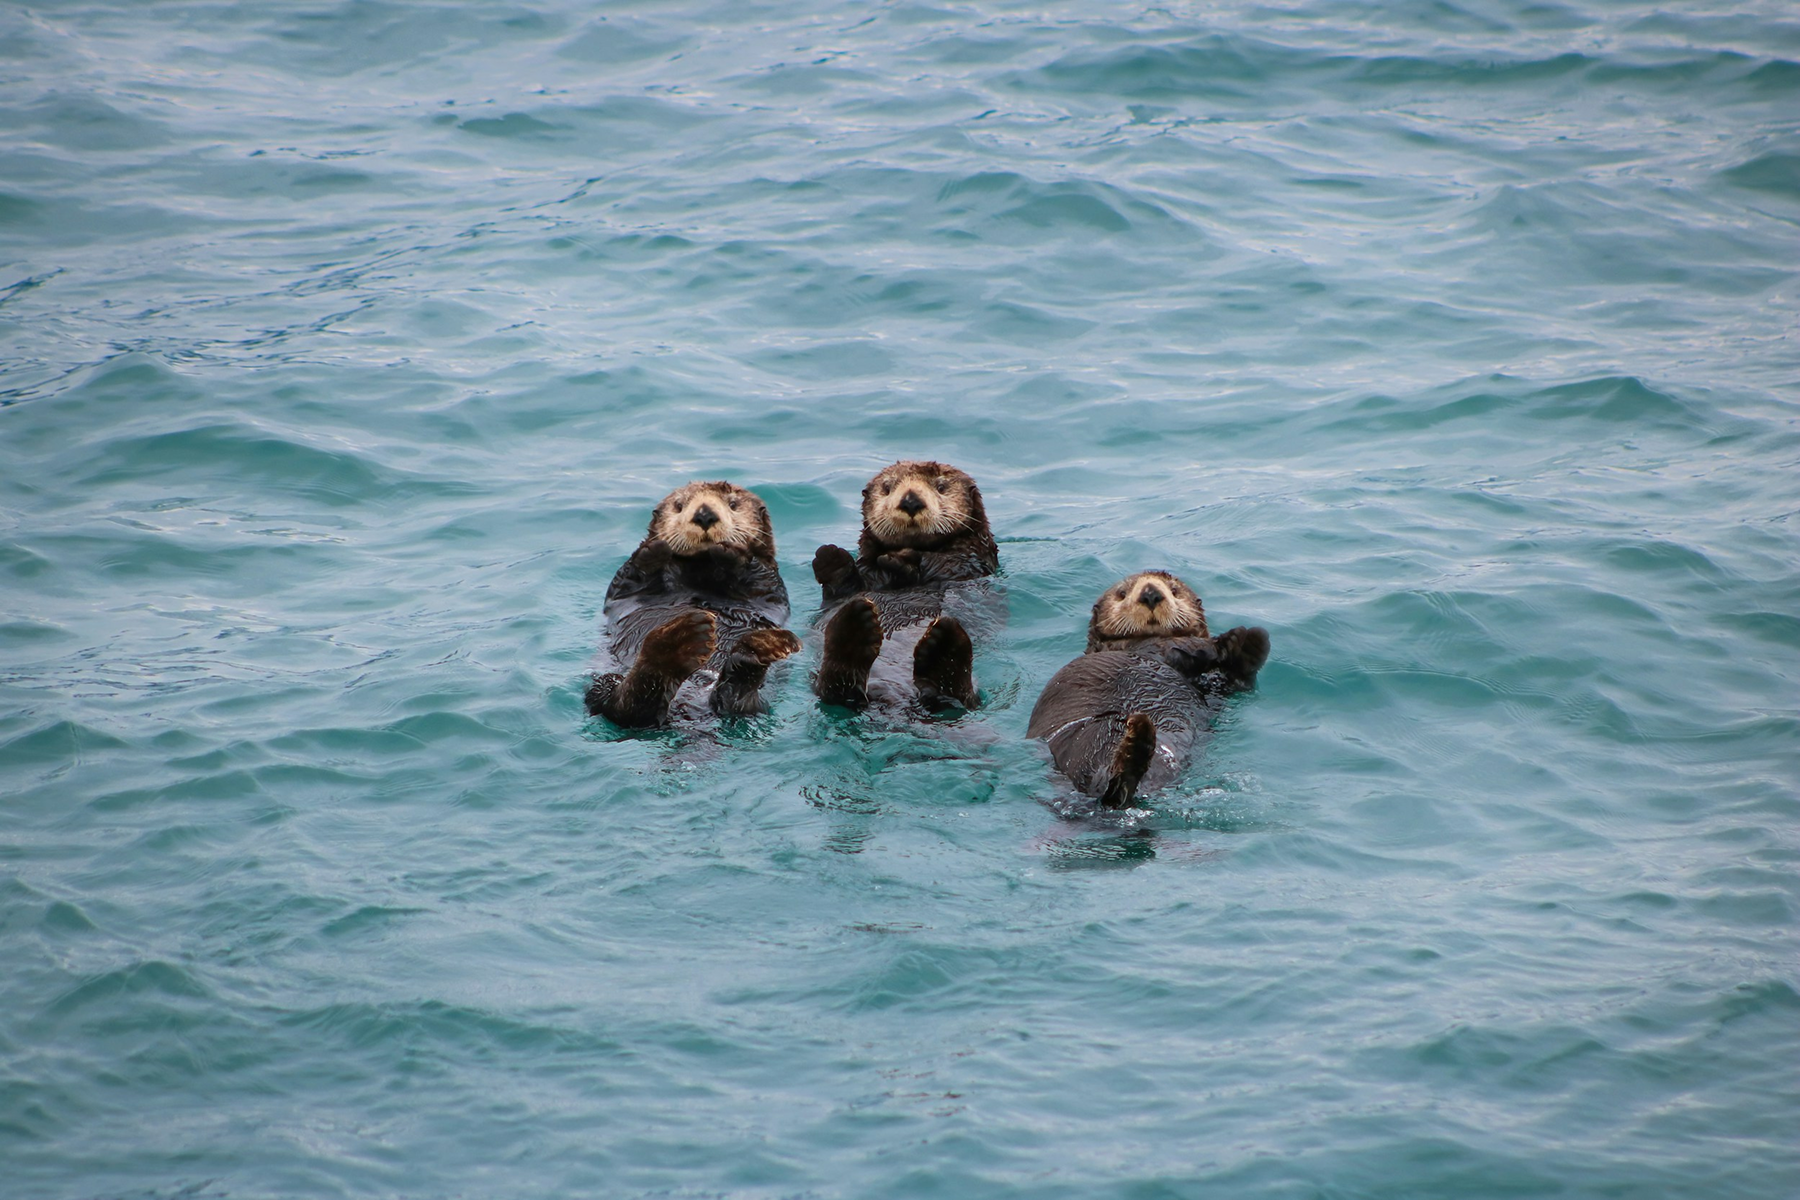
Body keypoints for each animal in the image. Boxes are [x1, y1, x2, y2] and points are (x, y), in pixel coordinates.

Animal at [585, 481, 801, 727]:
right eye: (679, 505)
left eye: (733, 504)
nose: (704, 514)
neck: (701, 571)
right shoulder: (624, 587)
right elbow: (629, 579)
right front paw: (654, 549)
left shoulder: (770, 585)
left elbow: (760, 577)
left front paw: (731, 552)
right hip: (604, 682)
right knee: (623, 707)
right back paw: (679, 642)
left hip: (759, 703)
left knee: (735, 703)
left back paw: (755, 650)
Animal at [810, 460, 1000, 711]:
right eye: (887, 488)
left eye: (941, 487)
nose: (910, 501)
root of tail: (893, 697)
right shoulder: (863, 579)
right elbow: (844, 586)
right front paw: (830, 557)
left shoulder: (969, 563)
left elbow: (944, 563)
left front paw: (900, 559)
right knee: (834, 689)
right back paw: (855, 626)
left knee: (960, 699)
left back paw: (944, 645)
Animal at [1027, 571, 1269, 808]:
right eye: (1122, 593)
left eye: (1174, 590)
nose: (1150, 593)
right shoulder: (1150, 646)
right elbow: (1182, 647)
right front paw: (1229, 641)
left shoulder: (1214, 690)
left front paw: (1249, 644)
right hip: (1088, 740)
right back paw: (1135, 744)